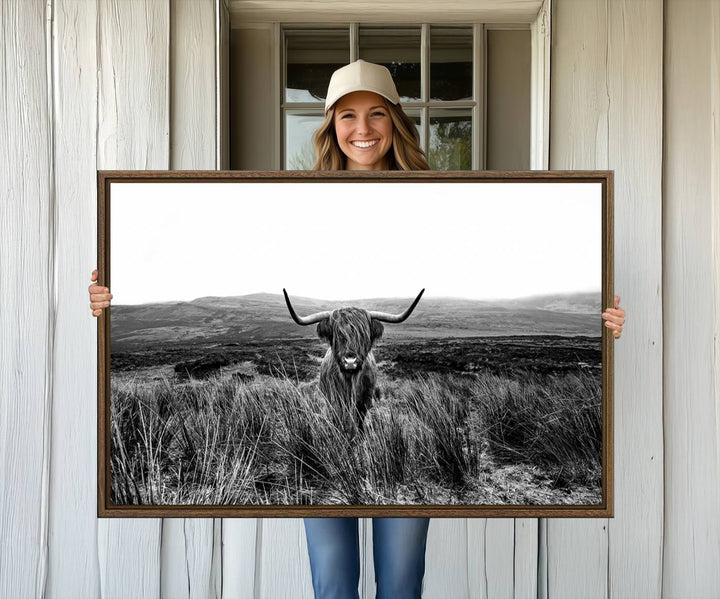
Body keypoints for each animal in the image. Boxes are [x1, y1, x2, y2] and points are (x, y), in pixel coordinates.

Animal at [284, 290, 424, 432]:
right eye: (337, 334)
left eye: (363, 335)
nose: (350, 361)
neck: (349, 382)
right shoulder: (333, 399)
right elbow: (338, 418)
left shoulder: (365, 400)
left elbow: (359, 419)